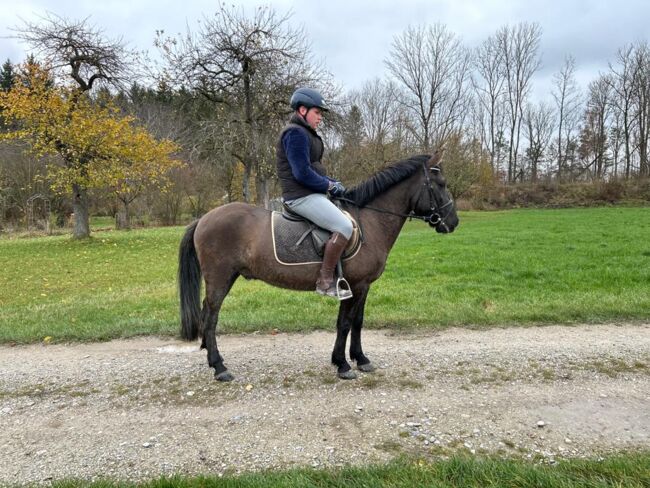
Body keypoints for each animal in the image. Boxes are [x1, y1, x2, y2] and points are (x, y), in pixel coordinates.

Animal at [177, 150, 458, 382]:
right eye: (441, 184)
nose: (453, 222)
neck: (370, 221)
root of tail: (204, 218)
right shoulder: (355, 285)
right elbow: (345, 323)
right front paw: (343, 364)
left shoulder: (363, 286)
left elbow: (357, 322)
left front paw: (360, 359)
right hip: (220, 279)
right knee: (210, 317)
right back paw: (219, 367)